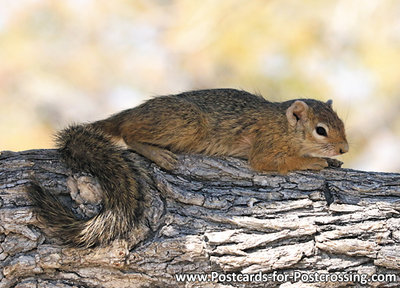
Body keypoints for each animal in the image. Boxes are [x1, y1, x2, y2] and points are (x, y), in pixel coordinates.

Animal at [28, 88, 348, 248]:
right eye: (320, 130)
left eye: (341, 123)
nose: (345, 148)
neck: (284, 126)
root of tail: (129, 113)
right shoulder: (264, 148)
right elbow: (274, 162)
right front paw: (317, 161)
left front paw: (333, 161)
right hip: (186, 123)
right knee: (129, 135)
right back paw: (159, 154)